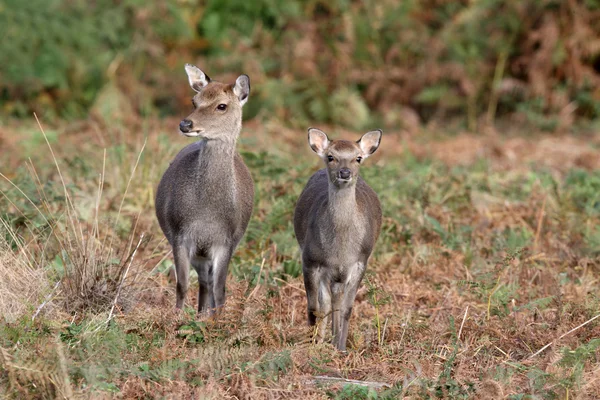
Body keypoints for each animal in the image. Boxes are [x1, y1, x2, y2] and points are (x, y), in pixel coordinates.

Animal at [155, 64, 253, 314]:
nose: (185, 124)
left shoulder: (226, 240)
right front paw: (177, 317)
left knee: (208, 281)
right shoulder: (179, 234)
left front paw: (218, 319)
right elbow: (181, 284)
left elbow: (221, 290)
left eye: (222, 105)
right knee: (202, 280)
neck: (207, 213)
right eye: (194, 101)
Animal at [292, 127, 382, 350]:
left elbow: (347, 309)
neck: (340, 250)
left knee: (336, 304)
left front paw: (341, 348)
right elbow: (313, 308)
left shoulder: (360, 261)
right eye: (331, 156)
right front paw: (313, 345)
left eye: (358, 158)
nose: (345, 173)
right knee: (325, 304)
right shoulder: (310, 260)